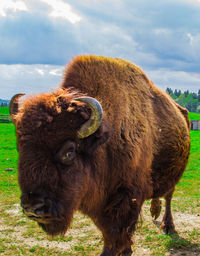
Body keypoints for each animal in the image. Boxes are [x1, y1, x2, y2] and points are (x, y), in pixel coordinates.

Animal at [9, 56, 191, 256]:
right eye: (20, 148)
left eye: (69, 152)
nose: (33, 207)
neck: (106, 139)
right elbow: (110, 234)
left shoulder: (125, 200)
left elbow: (117, 235)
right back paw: (154, 213)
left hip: (174, 174)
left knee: (169, 196)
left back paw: (168, 226)